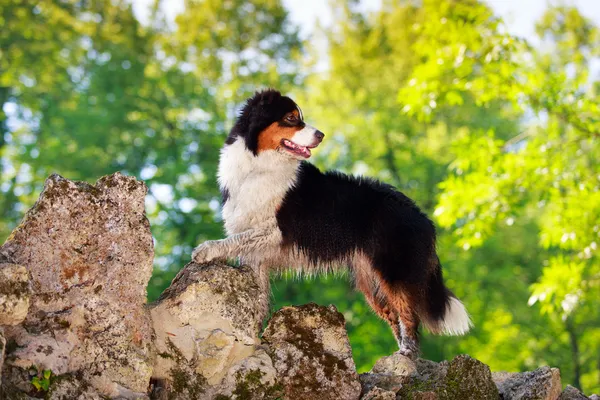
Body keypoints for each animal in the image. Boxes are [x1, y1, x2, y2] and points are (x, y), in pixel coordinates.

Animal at [193, 89, 474, 358]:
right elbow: (258, 299)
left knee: (409, 316)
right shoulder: (257, 257)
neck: (259, 166)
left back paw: (407, 355)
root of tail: (423, 216)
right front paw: (256, 339)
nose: (321, 135)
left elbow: (231, 240)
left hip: (395, 272)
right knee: (393, 315)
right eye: (291, 118)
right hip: (370, 282)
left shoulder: (276, 231)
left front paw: (205, 249)